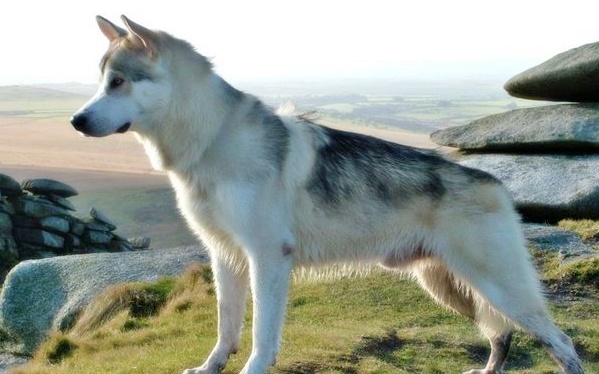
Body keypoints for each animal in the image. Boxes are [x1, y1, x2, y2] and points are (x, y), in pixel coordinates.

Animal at [71, 15, 584, 374]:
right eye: (100, 82)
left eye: (118, 81)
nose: (75, 121)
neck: (212, 139)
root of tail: (496, 184)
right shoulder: (225, 258)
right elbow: (225, 329)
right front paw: (208, 367)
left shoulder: (267, 259)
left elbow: (261, 337)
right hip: (450, 287)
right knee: (502, 337)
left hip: (499, 289)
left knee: (561, 344)